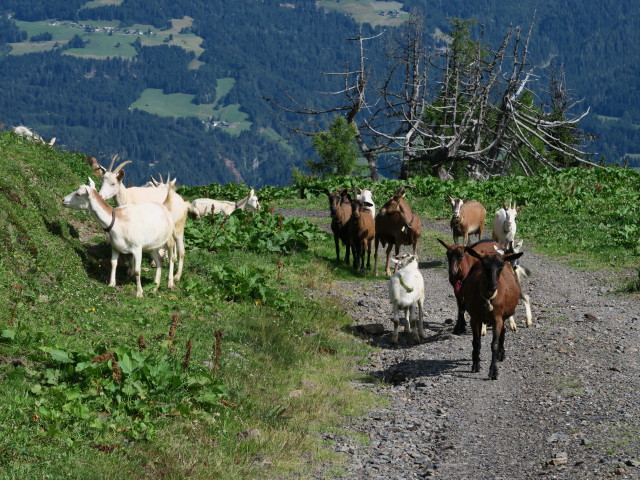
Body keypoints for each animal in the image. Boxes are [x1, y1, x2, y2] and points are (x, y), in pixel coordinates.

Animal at [462, 248, 524, 378]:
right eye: (484, 265)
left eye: (501, 266)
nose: (493, 285)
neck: (488, 298)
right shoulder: (475, 318)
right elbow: (476, 342)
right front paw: (475, 365)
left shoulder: (497, 318)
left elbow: (494, 344)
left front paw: (493, 371)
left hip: (503, 316)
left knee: (503, 331)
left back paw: (501, 354)